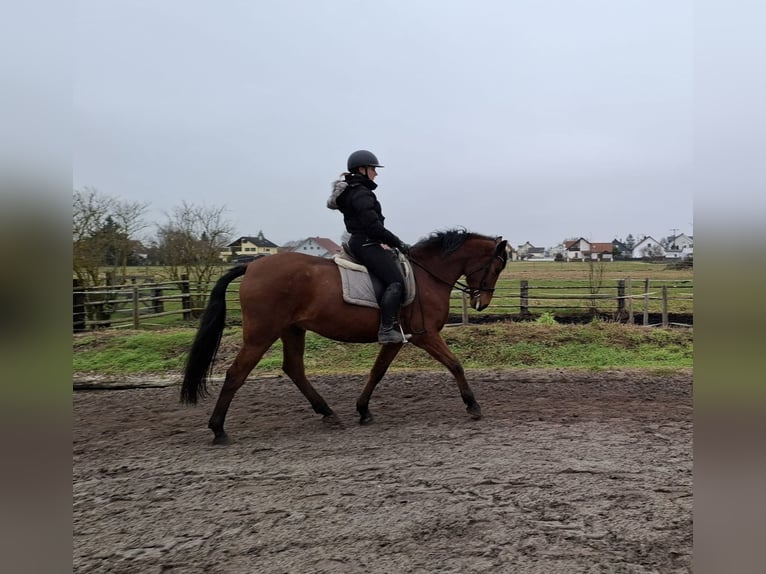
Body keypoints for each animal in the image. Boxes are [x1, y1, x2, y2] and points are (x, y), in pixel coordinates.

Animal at [181, 229, 508, 444]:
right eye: (496, 266)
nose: (482, 303)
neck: (427, 275)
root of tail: (251, 266)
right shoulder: (425, 335)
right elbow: (455, 364)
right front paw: (473, 406)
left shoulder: (396, 338)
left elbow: (377, 372)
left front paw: (363, 410)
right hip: (261, 334)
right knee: (236, 374)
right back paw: (218, 429)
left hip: (292, 330)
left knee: (294, 369)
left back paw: (327, 413)